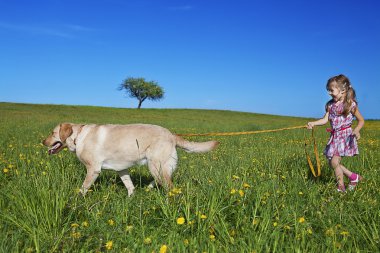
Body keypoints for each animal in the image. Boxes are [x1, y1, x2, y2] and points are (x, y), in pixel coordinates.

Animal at [42, 122, 218, 196]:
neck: (78, 136)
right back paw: (148, 188)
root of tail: (171, 134)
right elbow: (129, 186)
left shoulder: (93, 170)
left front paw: (76, 202)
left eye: (52, 132)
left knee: (170, 187)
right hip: (156, 166)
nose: (42, 142)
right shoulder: (121, 169)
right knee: (160, 180)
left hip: (156, 166)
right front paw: (130, 198)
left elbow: (83, 188)